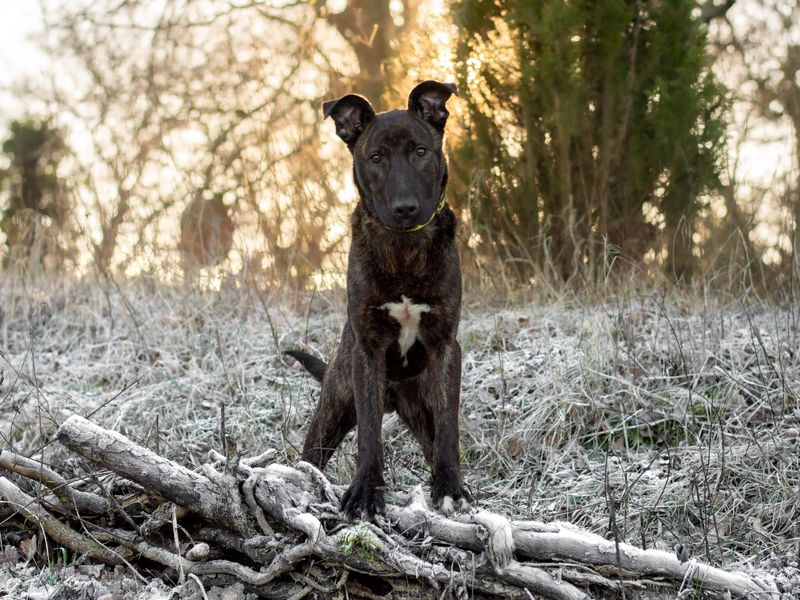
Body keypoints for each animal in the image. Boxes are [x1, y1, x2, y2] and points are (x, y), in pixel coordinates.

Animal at [284, 81, 468, 520]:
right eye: (376, 157)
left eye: (421, 151)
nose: (405, 208)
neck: (403, 246)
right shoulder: (367, 349)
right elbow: (369, 434)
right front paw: (366, 492)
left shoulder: (445, 347)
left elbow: (449, 431)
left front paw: (450, 487)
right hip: (335, 401)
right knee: (312, 454)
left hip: (422, 409)